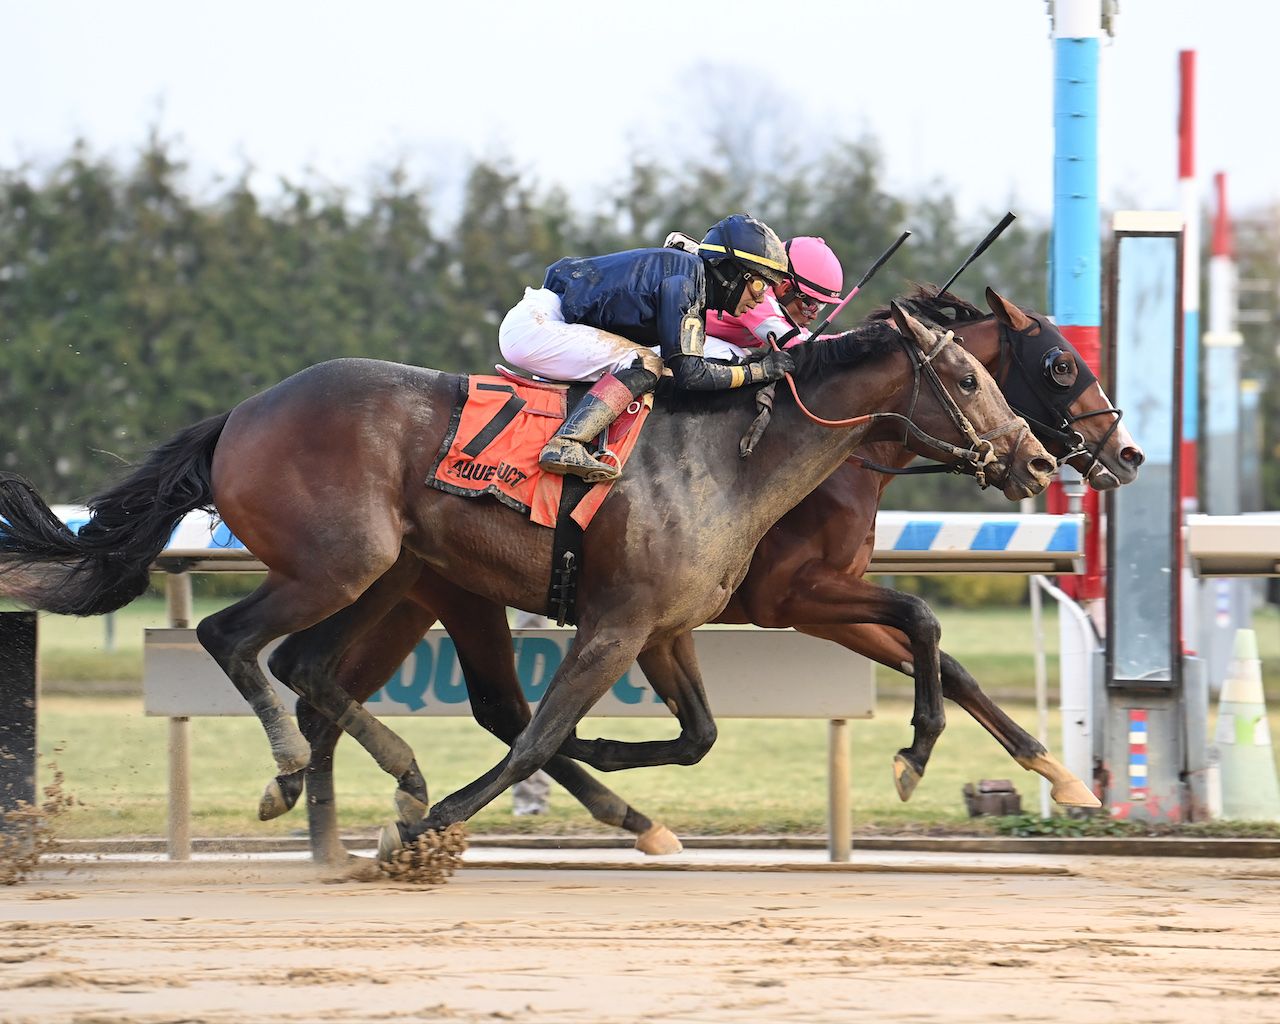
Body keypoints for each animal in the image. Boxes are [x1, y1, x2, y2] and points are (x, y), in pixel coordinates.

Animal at [0, 302, 1049, 855]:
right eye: (969, 381)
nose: (1039, 460)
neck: (728, 459)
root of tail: (244, 413)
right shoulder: (620, 624)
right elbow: (542, 734)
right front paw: (435, 829)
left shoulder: (665, 628)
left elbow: (696, 734)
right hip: (348, 565)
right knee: (240, 642)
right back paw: (307, 778)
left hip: (388, 579)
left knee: (309, 670)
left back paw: (378, 786)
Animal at [259, 284, 1141, 860]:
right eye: (1061, 365)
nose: (1125, 453)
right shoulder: (796, 597)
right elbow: (922, 621)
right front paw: (921, 753)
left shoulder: (801, 606)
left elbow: (939, 652)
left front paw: (1059, 776)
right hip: (423, 590)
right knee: (451, 703)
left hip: (408, 591)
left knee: (330, 687)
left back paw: (323, 817)